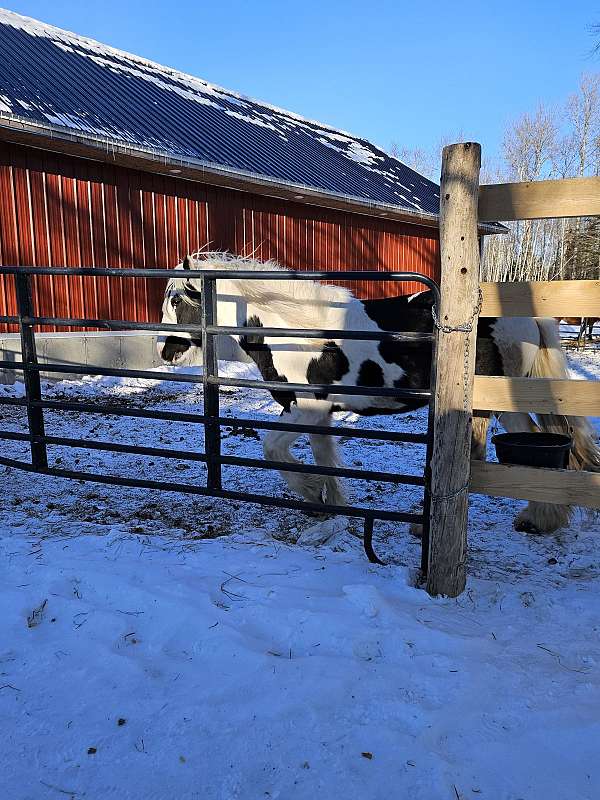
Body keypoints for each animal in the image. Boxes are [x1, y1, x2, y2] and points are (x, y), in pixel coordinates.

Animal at [159, 253, 600, 536]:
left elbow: (272, 449)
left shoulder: (306, 409)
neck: (296, 331)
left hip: (502, 399)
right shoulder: (321, 414)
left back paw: (538, 519)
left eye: (176, 299)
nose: (165, 351)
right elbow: (325, 459)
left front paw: (310, 493)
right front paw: (331, 508)